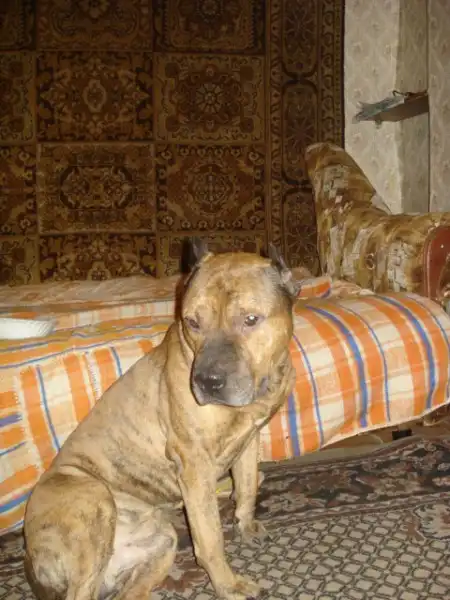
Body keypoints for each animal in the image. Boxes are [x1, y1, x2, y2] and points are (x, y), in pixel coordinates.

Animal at [24, 240, 298, 600]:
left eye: (251, 320)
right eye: (192, 322)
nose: (207, 382)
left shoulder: (250, 440)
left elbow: (248, 485)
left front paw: (245, 522)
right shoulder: (195, 466)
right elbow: (210, 537)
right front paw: (229, 584)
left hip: (160, 542)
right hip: (94, 499)